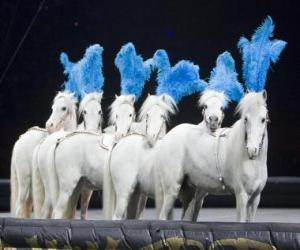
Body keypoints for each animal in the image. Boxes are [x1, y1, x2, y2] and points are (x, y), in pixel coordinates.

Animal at [157, 91, 268, 222]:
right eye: (245, 119)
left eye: (263, 119)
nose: (252, 150)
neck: (251, 162)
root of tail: (168, 136)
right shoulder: (242, 196)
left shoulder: (255, 198)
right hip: (172, 189)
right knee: (162, 216)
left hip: (190, 194)